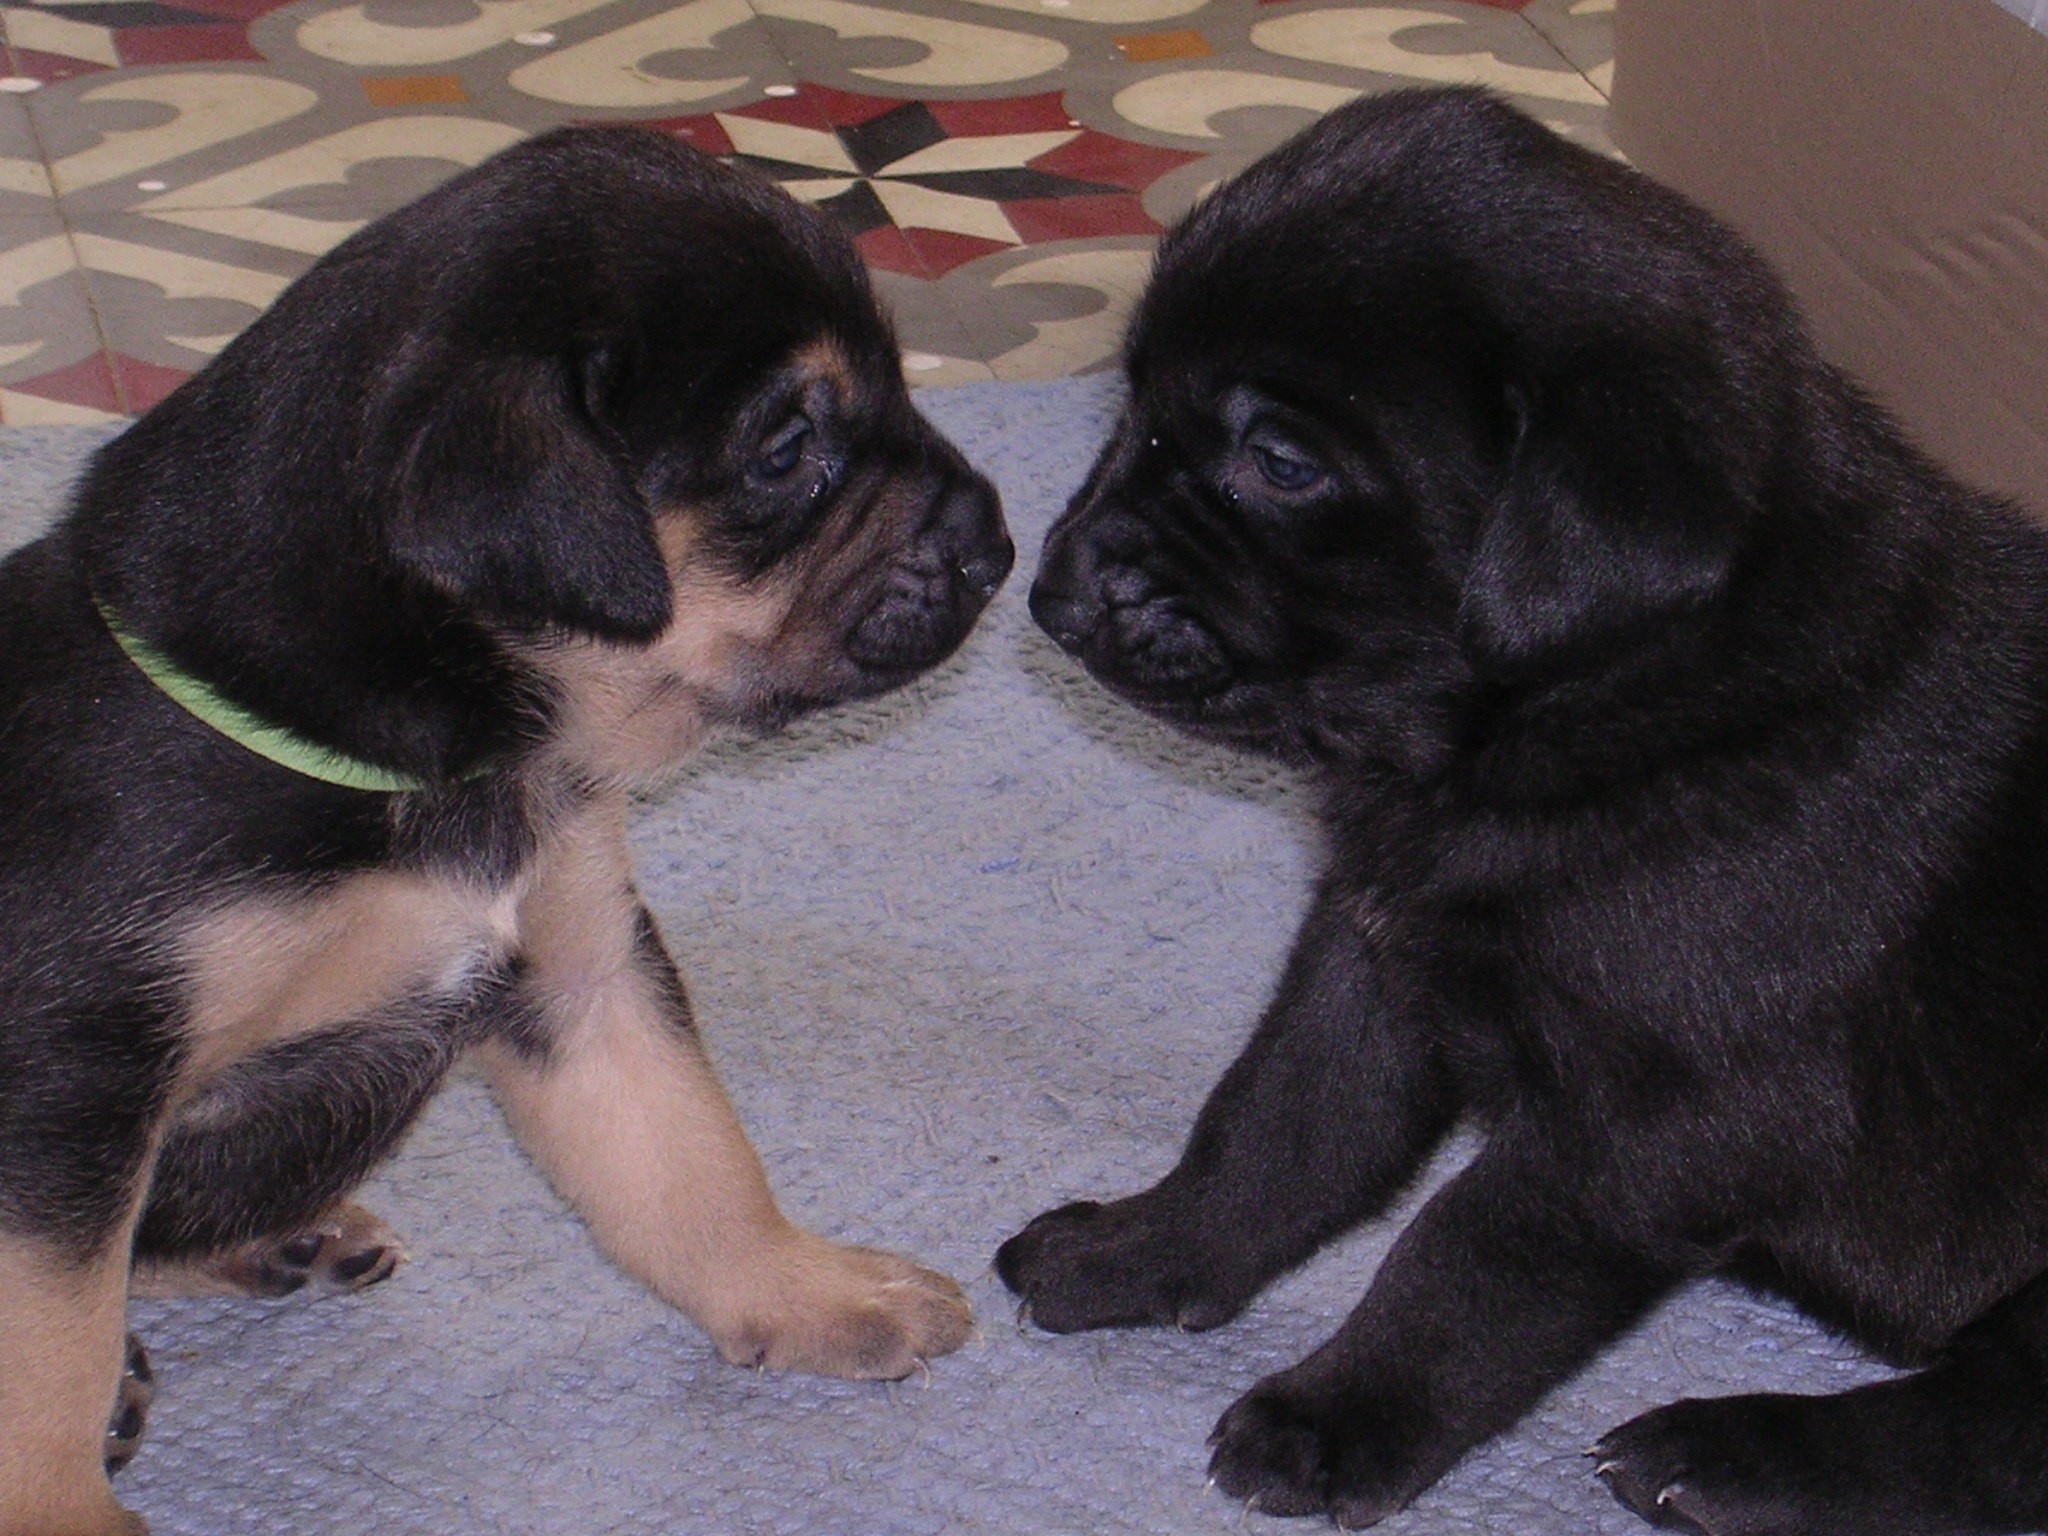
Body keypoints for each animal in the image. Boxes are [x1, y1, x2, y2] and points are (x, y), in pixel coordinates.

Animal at [0, 124, 1011, 1535]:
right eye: (784, 448)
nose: (1001, 544)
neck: (420, 754)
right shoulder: (75, 1086)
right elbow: (52, 1339)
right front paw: (61, 1505)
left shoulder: (576, 969)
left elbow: (692, 1157)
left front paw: (808, 1292)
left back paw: (287, 1243)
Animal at [997, 87, 2048, 1535]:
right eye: (1136, 397)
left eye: (1279, 461)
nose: (1048, 592)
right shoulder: (1372, 955)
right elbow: (1272, 1123)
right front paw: (1142, 1251)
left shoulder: (1656, 1118)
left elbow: (1469, 1260)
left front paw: (1333, 1416)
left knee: (2002, 1425)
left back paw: (1727, 1456)